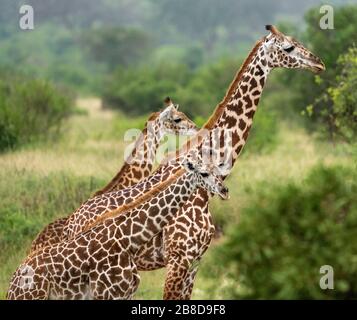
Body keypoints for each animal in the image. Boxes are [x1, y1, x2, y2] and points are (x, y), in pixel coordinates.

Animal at [8, 155, 228, 300]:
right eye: (204, 173)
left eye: (218, 170)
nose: (224, 190)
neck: (127, 239)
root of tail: (13, 280)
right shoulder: (107, 294)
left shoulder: (126, 294)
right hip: (31, 297)